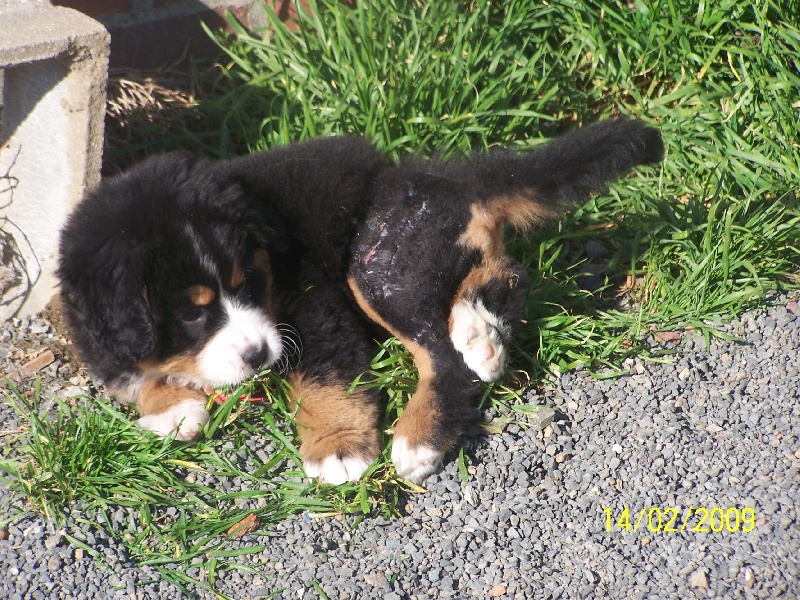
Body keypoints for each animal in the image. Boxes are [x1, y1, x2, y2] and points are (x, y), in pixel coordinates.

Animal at [58, 119, 663, 484]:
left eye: (248, 282)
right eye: (190, 313)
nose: (256, 355)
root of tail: (439, 178)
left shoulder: (312, 307)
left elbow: (325, 382)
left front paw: (337, 449)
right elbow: (129, 374)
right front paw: (170, 408)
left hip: (378, 264)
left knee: (443, 358)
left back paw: (421, 436)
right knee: (505, 274)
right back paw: (480, 337)